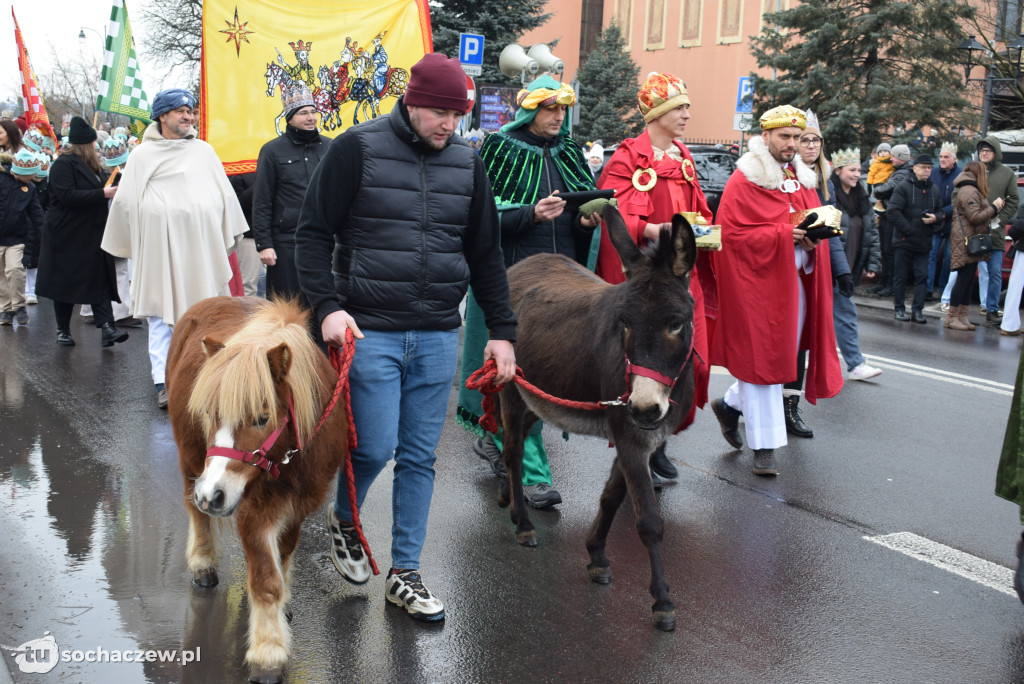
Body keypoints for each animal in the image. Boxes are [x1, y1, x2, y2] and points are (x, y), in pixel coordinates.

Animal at [164, 296, 348, 684]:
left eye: (262, 418)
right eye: (210, 412)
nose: (211, 495)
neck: (288, 457)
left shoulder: (297, 506)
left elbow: (285, 555)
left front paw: (282, 605)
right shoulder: (253, 510)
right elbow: (266, 580)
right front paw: (268, 653)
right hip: (190, 461)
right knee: (195, 514)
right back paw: (202, 561)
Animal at [493, 205, 696, 634]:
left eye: (676, 323)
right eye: (625, 322)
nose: (644, 407)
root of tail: (527, 262)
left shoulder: (637, 435)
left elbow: (612, 497)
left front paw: (597, 556)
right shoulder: (629, 432)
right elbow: (648, 519)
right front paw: (662, 601)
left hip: (538, 397)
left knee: (510, 444)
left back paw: (506, 496)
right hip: (512, 390)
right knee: (513, 452)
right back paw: (522, 523)